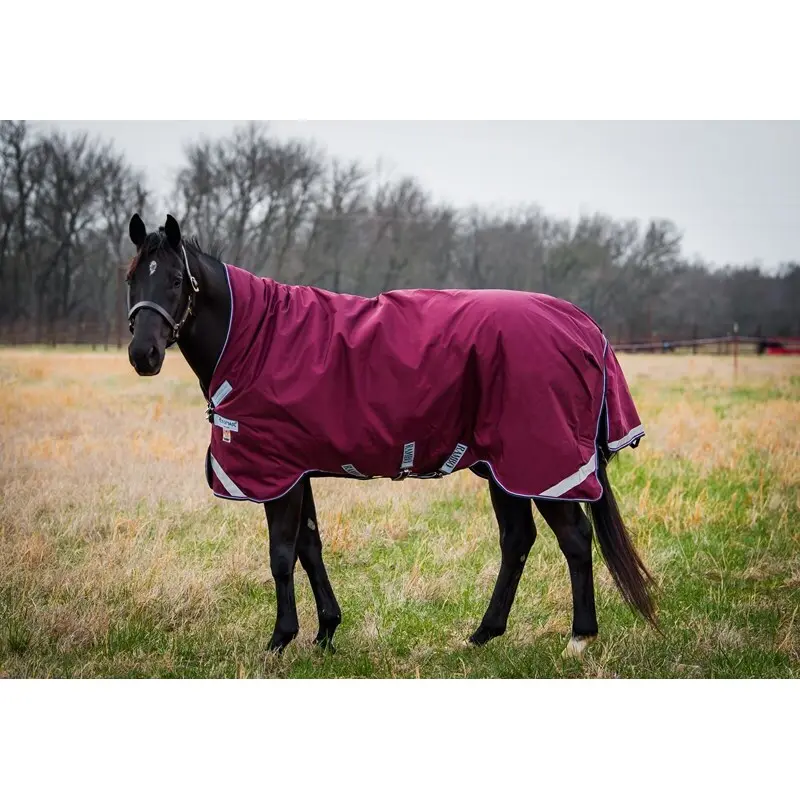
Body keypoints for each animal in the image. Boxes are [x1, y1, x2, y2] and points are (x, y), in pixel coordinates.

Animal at [125, 213, 657, 658]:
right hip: (504, 469)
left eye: (176, 280)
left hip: (543, 466)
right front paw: (326, 631)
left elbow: (280, 555)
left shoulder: (277, 477)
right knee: (517, 540)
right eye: (132, 278)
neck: (255, 339)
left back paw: (579, 639)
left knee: (575, 540)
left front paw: (279, 640)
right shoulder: (297, 472)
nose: (142, 355)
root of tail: (583, 325)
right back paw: (483, 633)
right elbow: (309, 548)